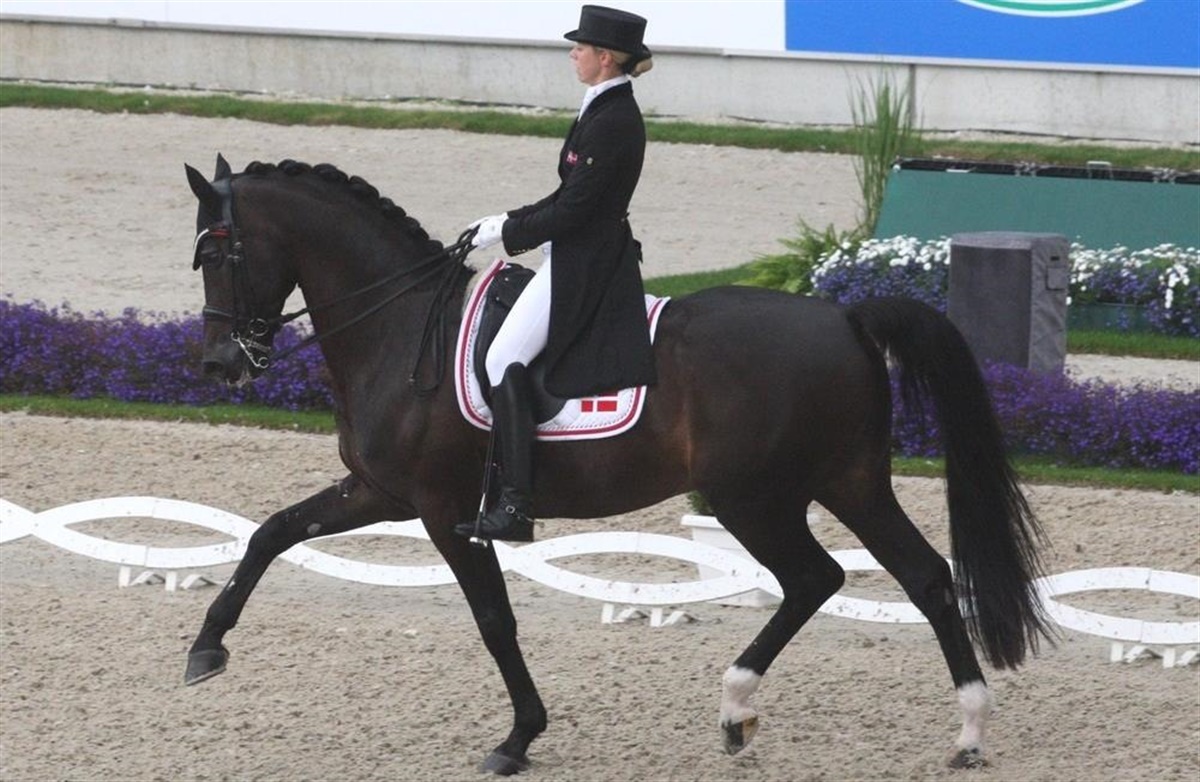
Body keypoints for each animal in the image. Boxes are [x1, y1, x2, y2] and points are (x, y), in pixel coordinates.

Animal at [183, 154, 1051, 775]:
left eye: (221, 252)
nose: (222, 364)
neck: (400, 329)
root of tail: (843, 316)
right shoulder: (379, 492)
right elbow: (270, 533)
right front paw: (206, 650)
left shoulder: (443, 510)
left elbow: (494, 620)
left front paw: (519, 738)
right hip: (848, 481)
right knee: (919, 576)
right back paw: (959, 732)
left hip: (755, 497)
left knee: (819, 578)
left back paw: (744, 707)